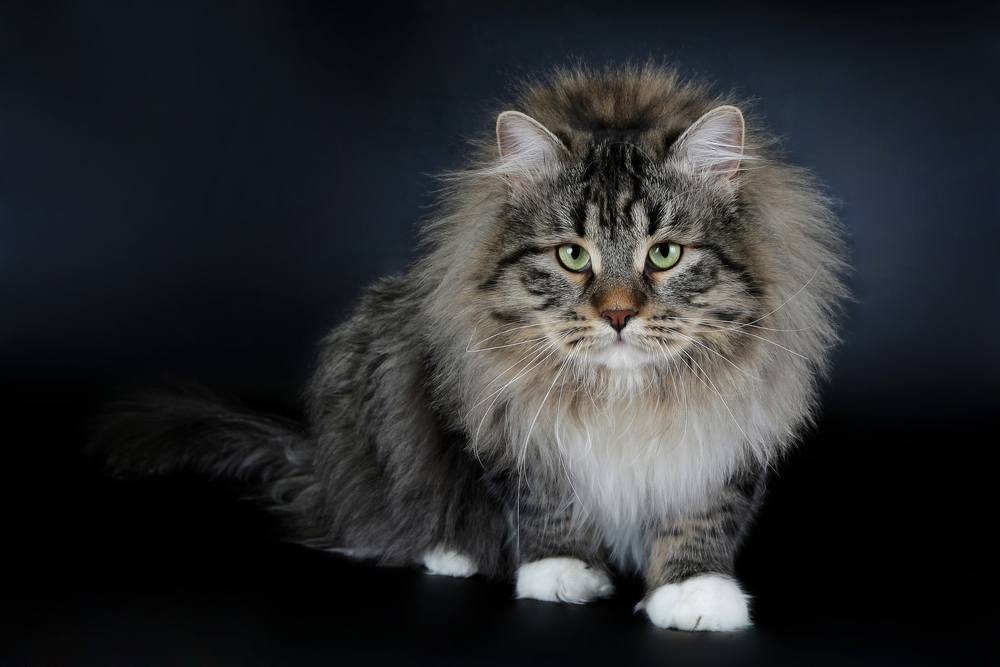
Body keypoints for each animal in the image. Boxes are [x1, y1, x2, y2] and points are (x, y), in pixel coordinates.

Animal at [94, 62, 848, 632]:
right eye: (573, 255)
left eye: (663, 254)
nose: (617, 315)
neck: (621, 396)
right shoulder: (508, 418)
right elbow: (545, 502)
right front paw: (560, 573)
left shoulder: (731, 424)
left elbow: (701, 516)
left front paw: (695, 596)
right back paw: (448, 552)